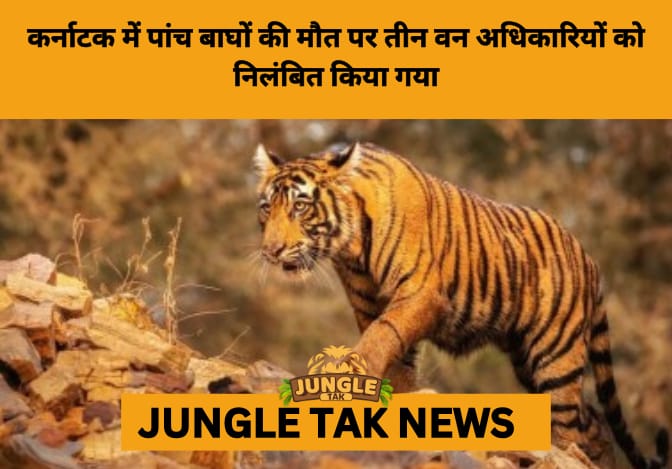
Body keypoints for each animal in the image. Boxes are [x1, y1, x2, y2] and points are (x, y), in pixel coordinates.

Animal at [252, 142, 669, 469]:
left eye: (301, 207)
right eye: (266, 209)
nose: (271, 251)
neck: (351, 247)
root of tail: (590, 259)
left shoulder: (420, 294)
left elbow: (382, 337)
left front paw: (350, 375)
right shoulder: (368, 304)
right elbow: (397, 361)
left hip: (555, 358)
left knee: (571, 428)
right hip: (528, 361)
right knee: (594, 421)